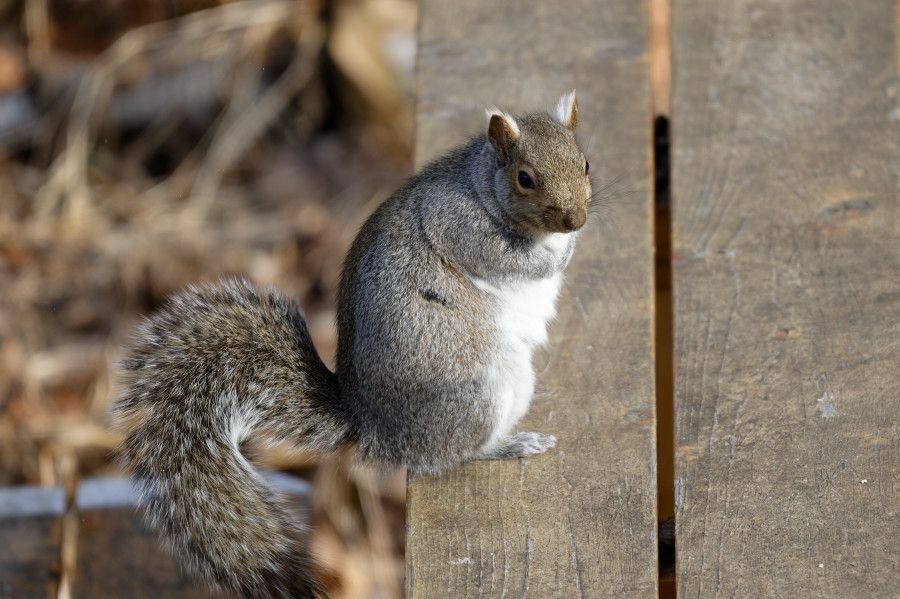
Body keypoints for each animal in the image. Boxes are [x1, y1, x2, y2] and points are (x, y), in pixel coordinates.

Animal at [113, 90, 591, 598]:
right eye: (525, 179)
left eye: (584, 163)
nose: (576, 220)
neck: (483, 184)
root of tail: (376, 431)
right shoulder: (459, 227)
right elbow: (511, 259)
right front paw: (558, 255)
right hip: (482, 391)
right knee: (445, 456)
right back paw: (509, 444)